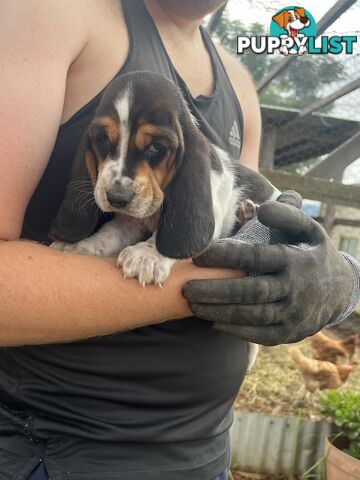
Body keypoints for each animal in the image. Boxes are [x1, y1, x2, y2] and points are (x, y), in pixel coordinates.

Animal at [51, 71, 282, 286]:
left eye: (156, 147)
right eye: (103, 140)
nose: (116, 198)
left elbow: (164, 233)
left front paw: (148, 255)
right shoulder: (129, 221)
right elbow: (108, 234)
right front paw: (79, 245)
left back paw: (250, 211)